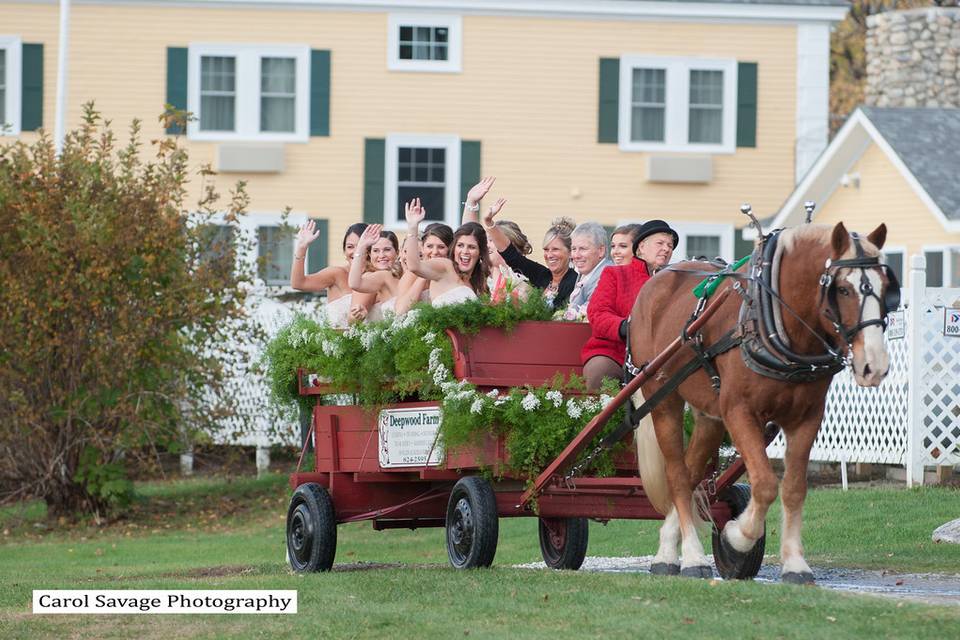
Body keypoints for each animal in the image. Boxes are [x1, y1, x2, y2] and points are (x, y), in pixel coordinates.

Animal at [632, 222, 892, 584]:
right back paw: (692, 556)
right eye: (842, 289)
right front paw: (736, 537)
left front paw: (795, 563)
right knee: (677, 476)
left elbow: (794, 488)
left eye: (886, 286)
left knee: (692, 470)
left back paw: (668, 550)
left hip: (709, 415)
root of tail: (659, 278)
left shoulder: (806, 418)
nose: (874, 365)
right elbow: (766, 484)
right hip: (663, 399)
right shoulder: (739, 412)